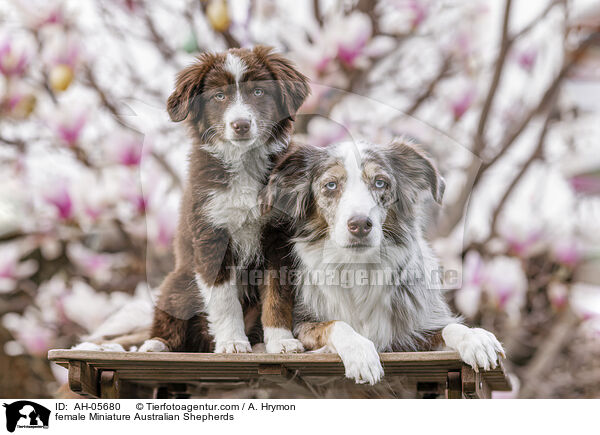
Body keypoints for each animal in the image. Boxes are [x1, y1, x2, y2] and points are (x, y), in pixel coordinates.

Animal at [139, 46, 310, 354]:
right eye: (219, 96)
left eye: (258, 92)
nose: (240, 125)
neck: (244, 163)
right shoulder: (211, 234)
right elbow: (224, 299)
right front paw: (232, 342)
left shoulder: (278, 237)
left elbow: (277, 295)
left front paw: (281, 340)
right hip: (178, 282)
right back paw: (156, 345)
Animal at [262, 140, 506, 384]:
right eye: (331, 185)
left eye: (380, 182)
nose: (360, 224)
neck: (357, 267)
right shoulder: (302, 324)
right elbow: (336, 324)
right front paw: (361, 353)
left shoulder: (411, 334)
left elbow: (448, 327)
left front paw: (474, 337)